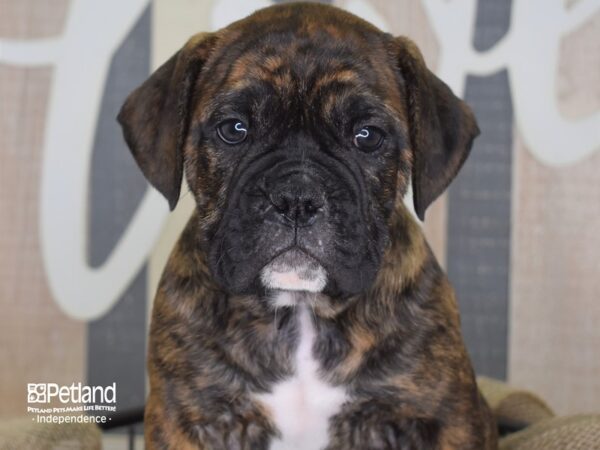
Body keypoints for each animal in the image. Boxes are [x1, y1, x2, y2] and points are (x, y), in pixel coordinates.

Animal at [117, 1, 496, 448]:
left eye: (367, 136)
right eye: (234, 129)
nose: (296, 198)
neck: (300, 309)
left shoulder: (441, 418)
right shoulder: (189, 419)